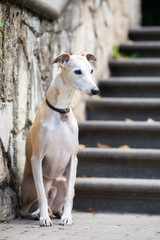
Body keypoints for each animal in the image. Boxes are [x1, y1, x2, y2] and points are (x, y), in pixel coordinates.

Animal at [20, 51, 99, 226]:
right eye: (77, 71)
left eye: (91, 70)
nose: (95, 90)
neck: (61, 111)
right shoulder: (37, 158)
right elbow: (42, 196)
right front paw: (44, 218)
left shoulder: (72, 159)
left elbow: (70, 194)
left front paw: (67, 217)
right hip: (38, 184)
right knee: (27, 208)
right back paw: (39, 214)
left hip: (60, 181)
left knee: (55, 205)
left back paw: (58, 213)